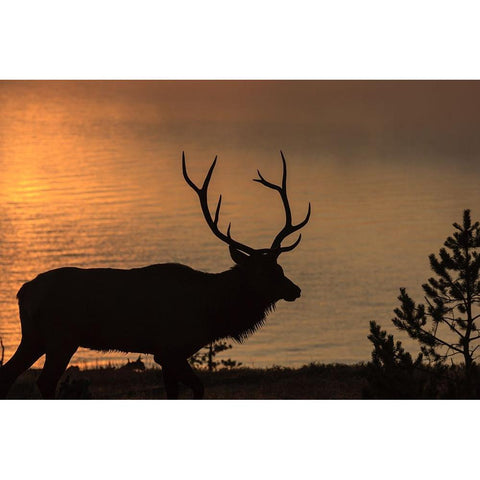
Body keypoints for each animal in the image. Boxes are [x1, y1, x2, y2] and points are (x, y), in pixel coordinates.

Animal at [0, 152, 312, 400]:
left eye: (280, 268)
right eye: (263, 271)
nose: (295, 290)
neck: (211, 311)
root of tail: (23, 292)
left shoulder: (166, 354)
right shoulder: (170, 348)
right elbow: (197, 388)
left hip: (34, 336)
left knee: (8, 373)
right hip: (62, 337)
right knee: (44, 381)